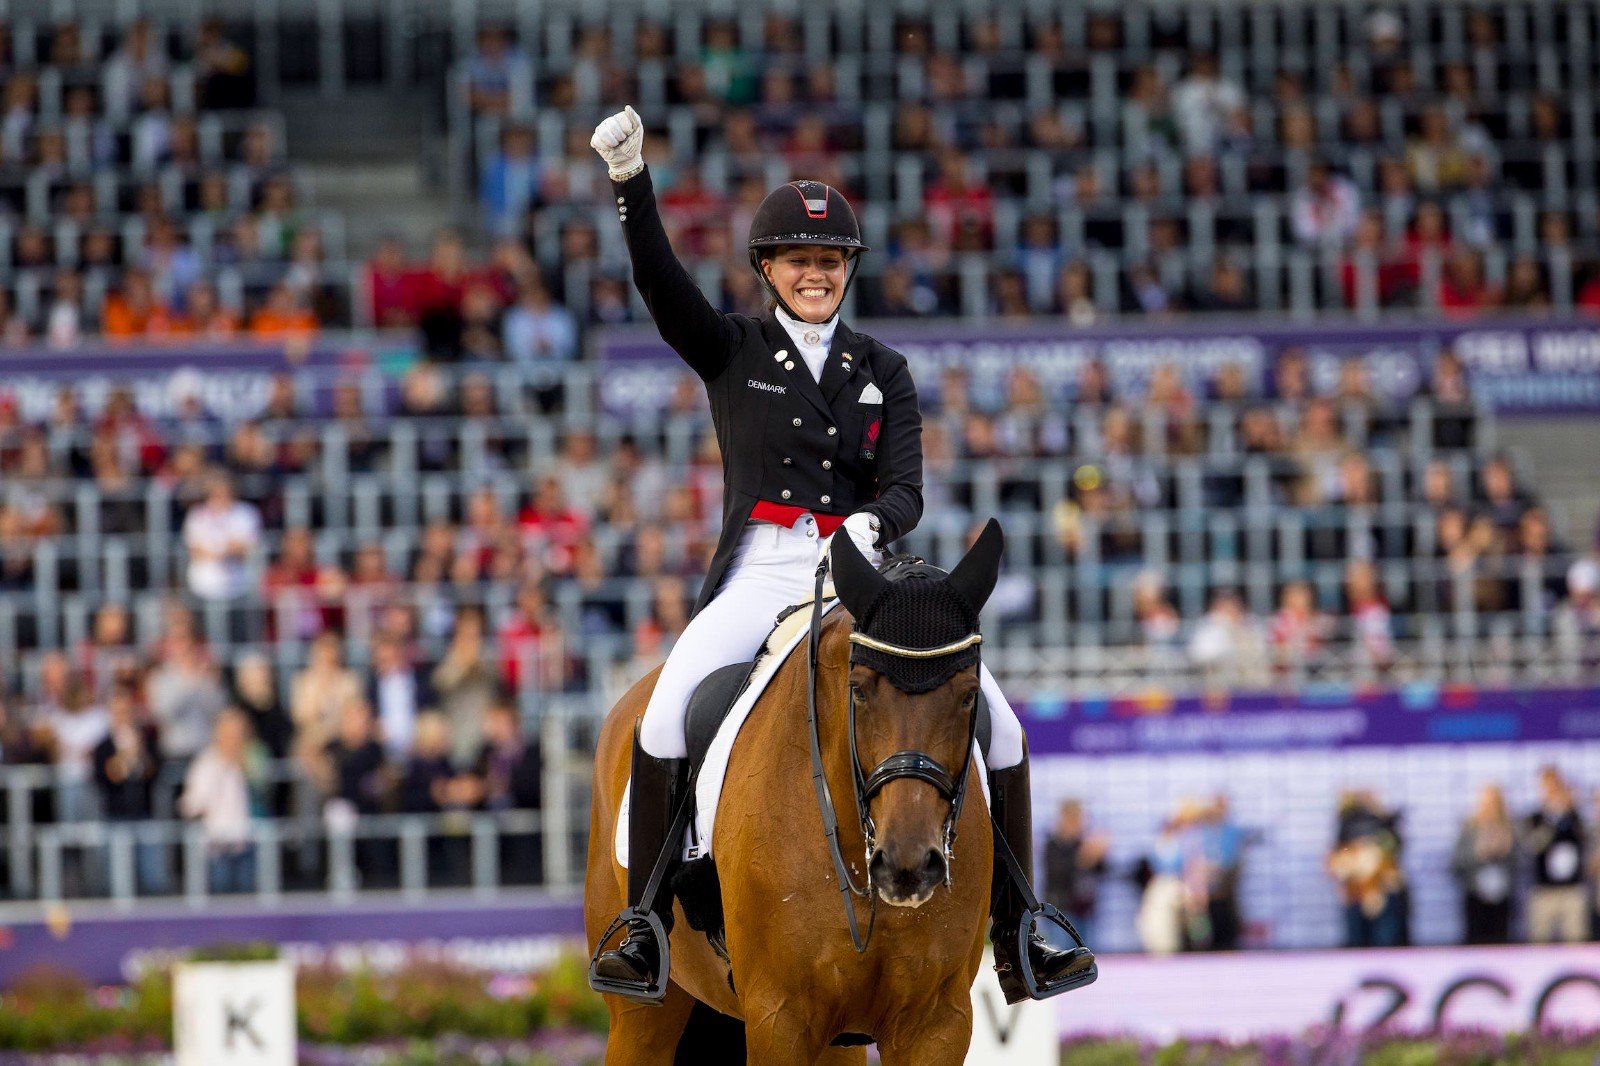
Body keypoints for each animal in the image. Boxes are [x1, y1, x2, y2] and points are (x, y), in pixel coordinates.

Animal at [585, 522, 1014, 1065]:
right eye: (859, 689)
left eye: (967, 695)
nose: (909, 866)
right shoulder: (778, 1016)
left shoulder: (938, 1022)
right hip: (642, 1016)